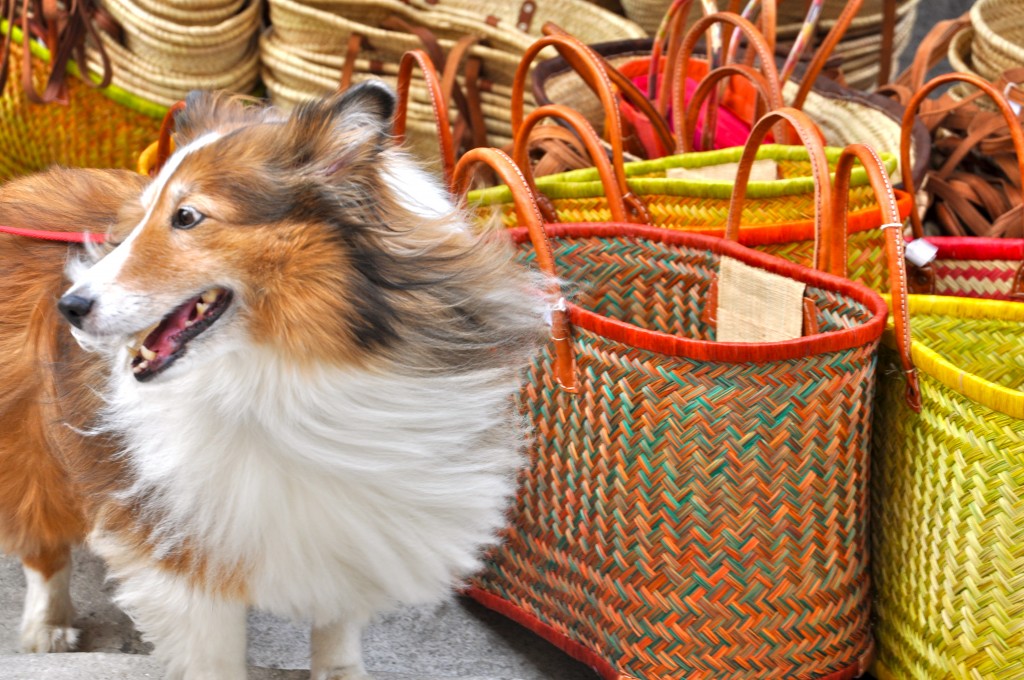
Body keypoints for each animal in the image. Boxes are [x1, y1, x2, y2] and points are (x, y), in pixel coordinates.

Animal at [0, 80, 548, 680]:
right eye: (141, 218)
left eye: (186, 216)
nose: (70, 307)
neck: (290, 369)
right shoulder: (186, 545)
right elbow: (216, 658)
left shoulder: (355, 529)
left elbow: (337, 626)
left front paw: (340, 672)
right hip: (28, 442)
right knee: (41, 542)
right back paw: (47, 627)